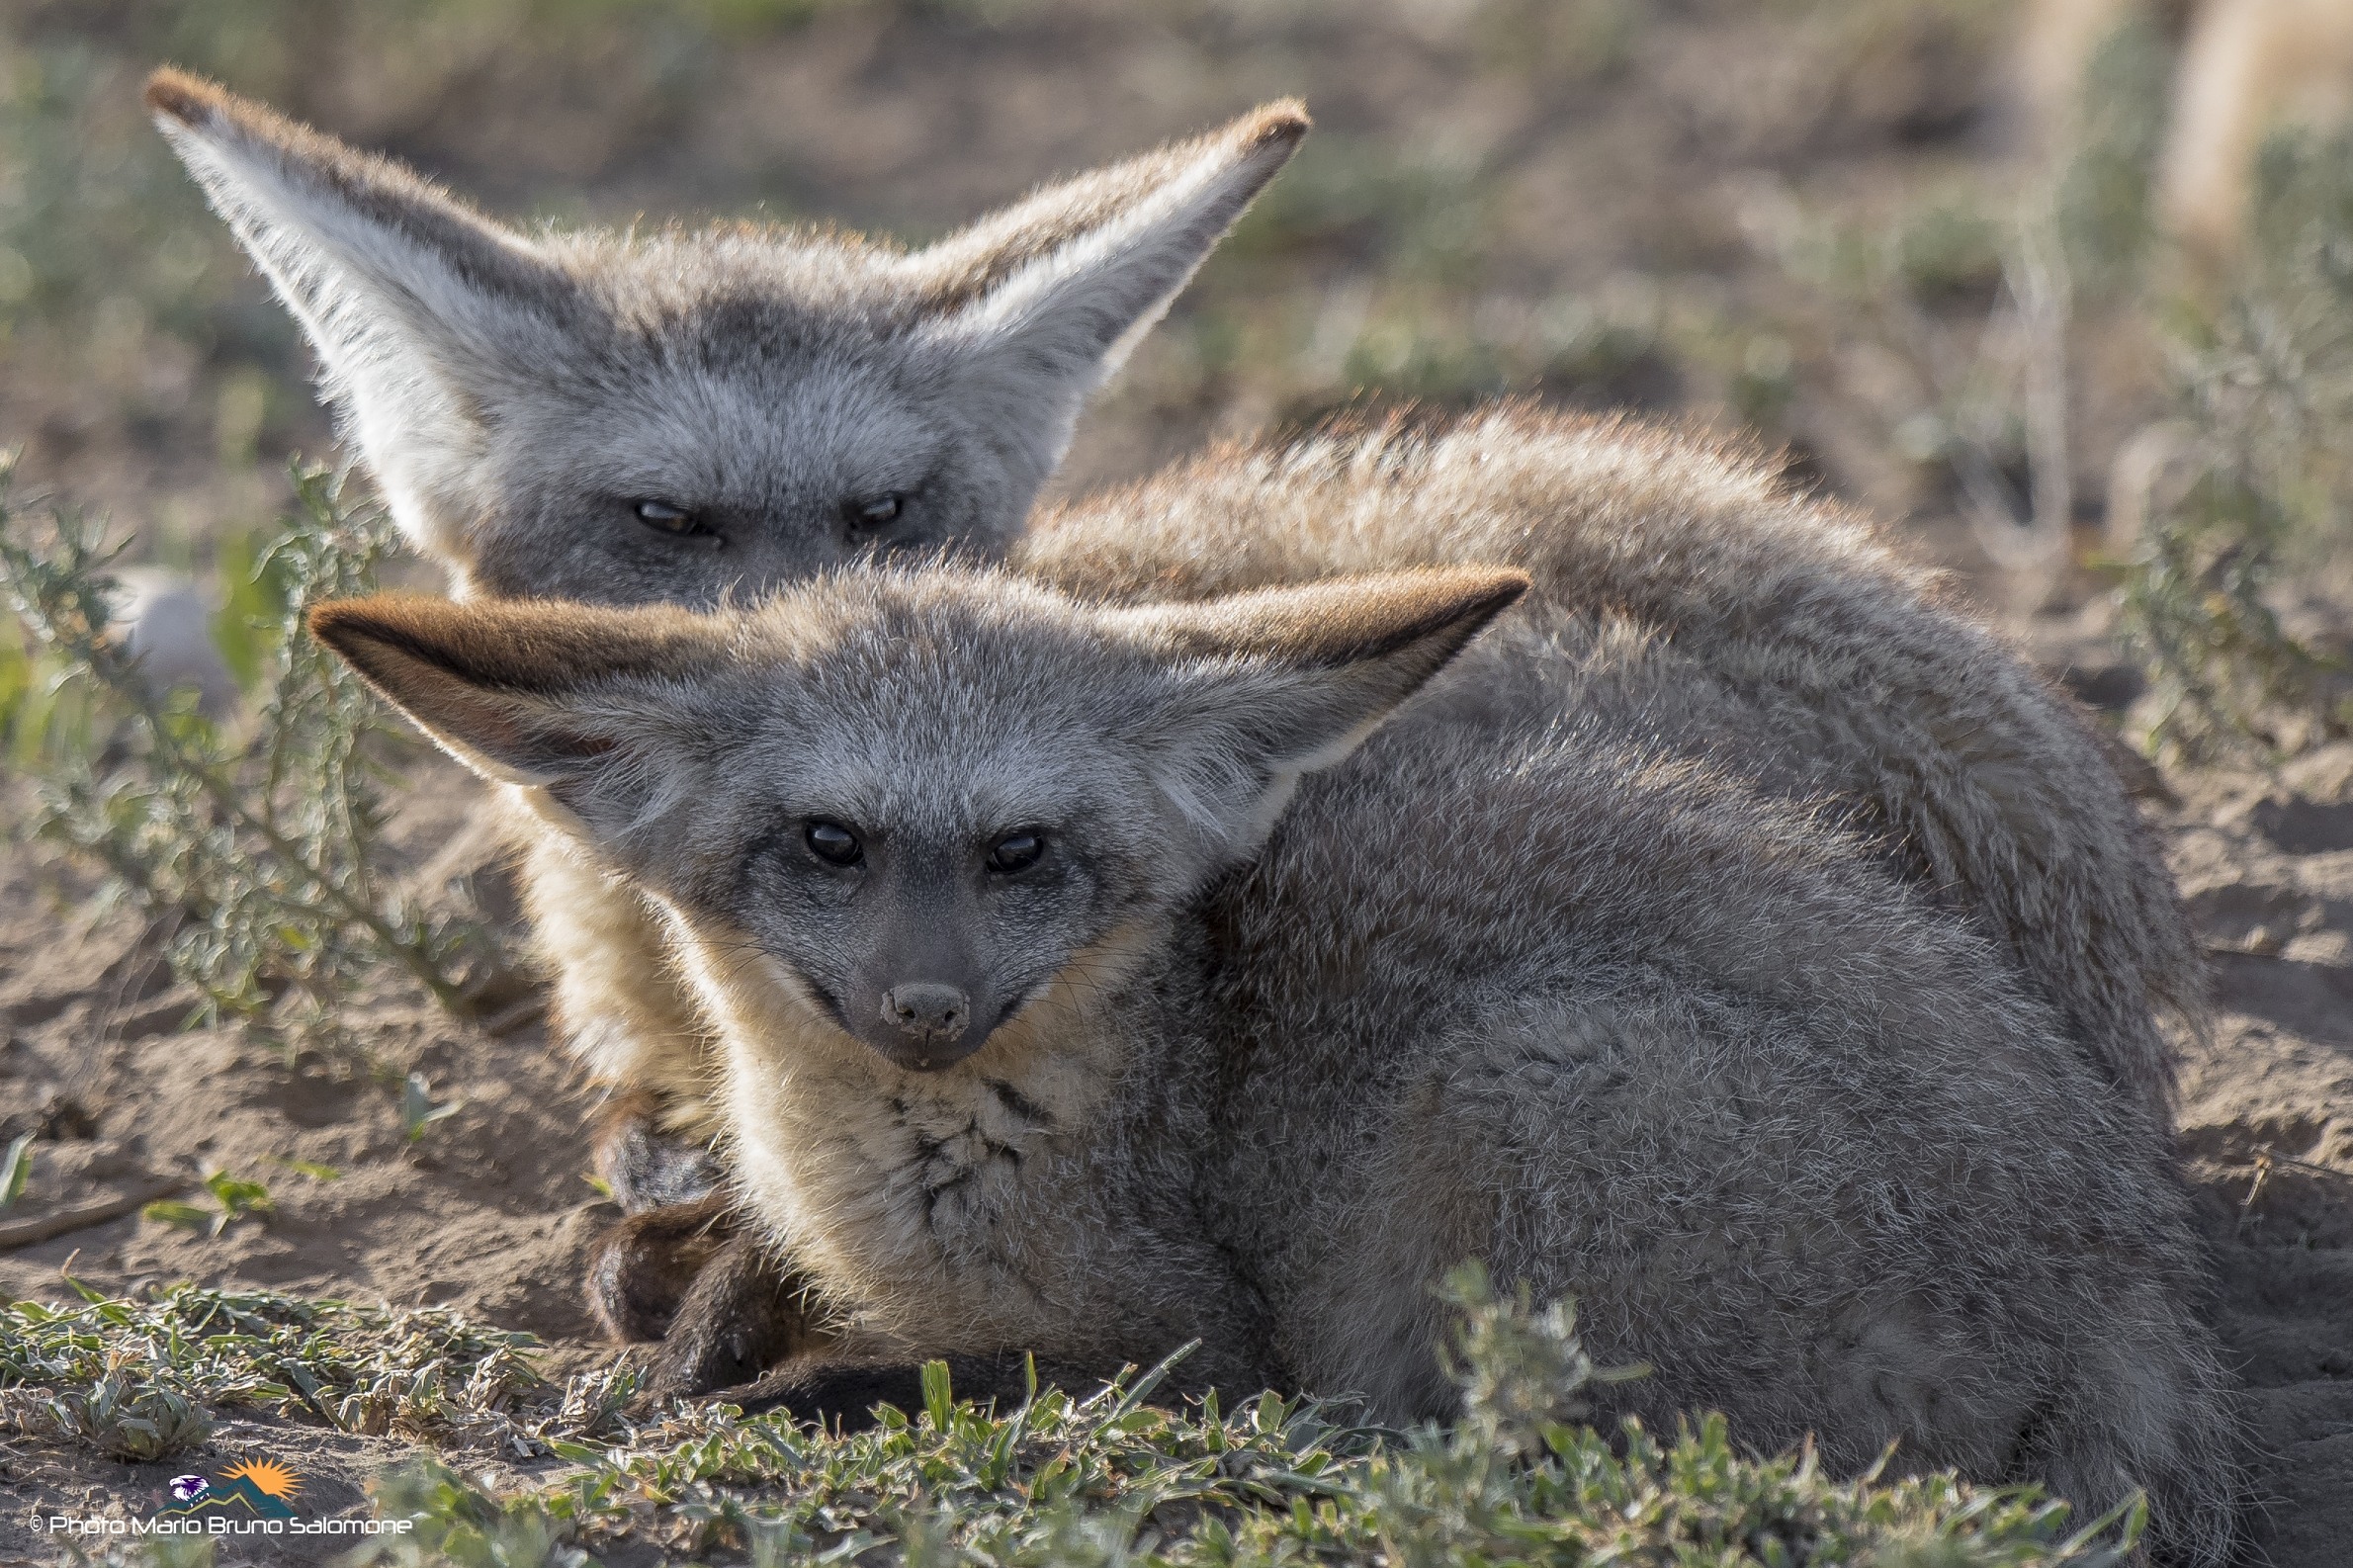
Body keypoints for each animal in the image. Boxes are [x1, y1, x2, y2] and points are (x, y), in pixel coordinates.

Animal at [308, 568, 2243, 1567]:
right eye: (829, 844)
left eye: (1023, 851)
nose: (929, 1009)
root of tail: (2129, 1268)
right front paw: (721, 1299)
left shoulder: (1189, 1325)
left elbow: (1041, 1374)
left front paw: (804, 1375)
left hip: (1501, 1086)